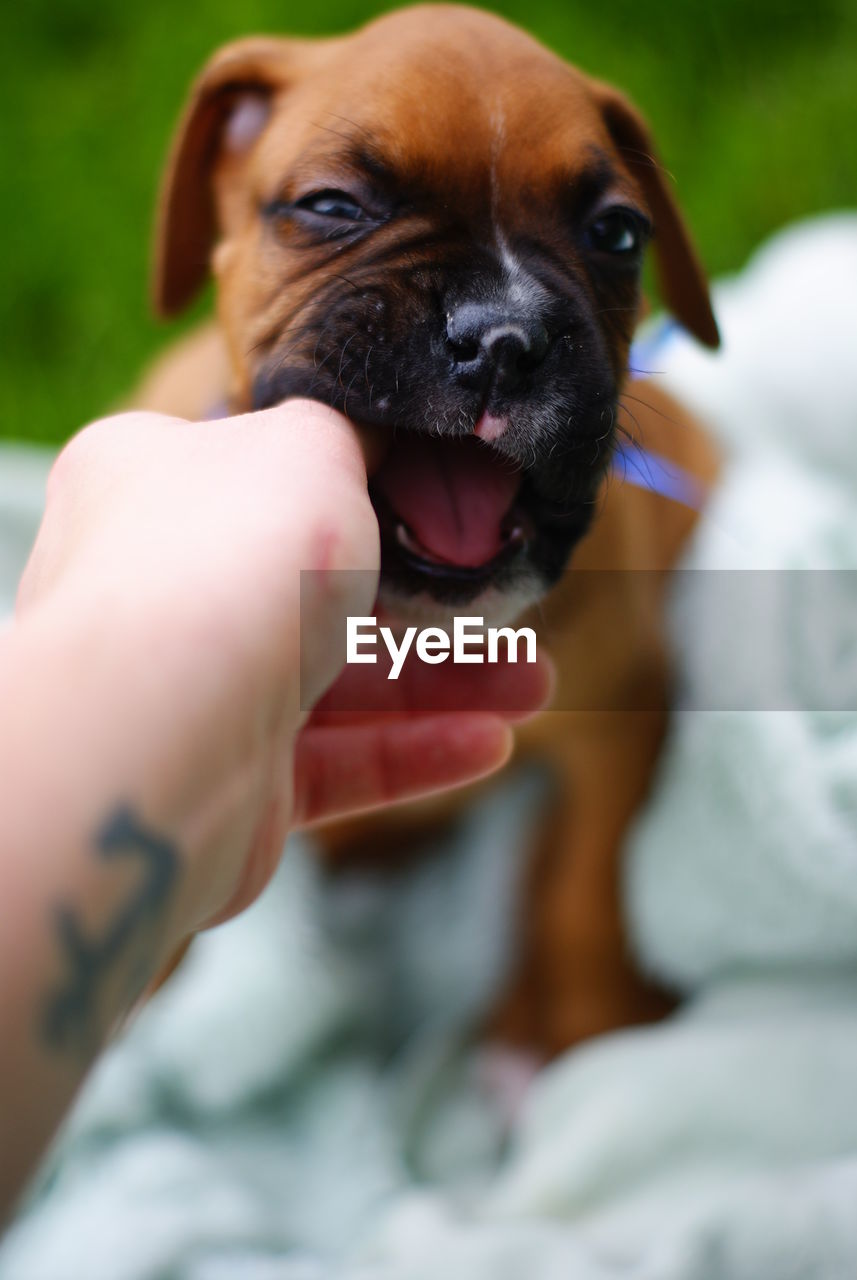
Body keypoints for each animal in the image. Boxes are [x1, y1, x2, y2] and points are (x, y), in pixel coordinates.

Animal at [136, 5, 726, 1054]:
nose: (504, 337)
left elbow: (584, 891)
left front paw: (593, 1035)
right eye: (331, 205)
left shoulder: (620, 720)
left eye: (616, 233)